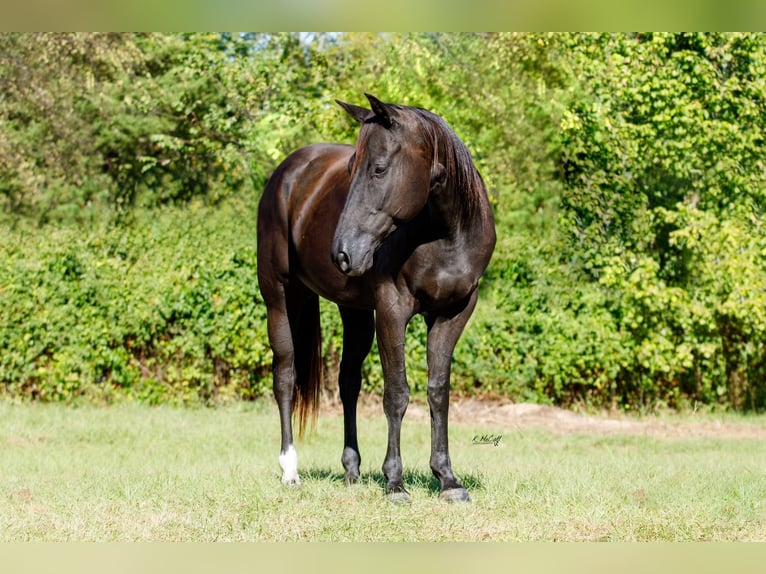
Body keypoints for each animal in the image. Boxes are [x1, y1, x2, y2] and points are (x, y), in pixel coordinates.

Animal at [258, 94, 498, 504]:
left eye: (379, 168)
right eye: (351, 168)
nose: (342, 253)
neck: (445, 233)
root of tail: (285, 173)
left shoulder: (453, 313)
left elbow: (438, 392)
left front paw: (447, 479)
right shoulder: (392, 310)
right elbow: (397, 394)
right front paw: (395, 482)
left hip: (353, 311)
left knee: (347, 383)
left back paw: (351, 469)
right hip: (279, 297)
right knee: (285, 377)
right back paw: (290, 469)